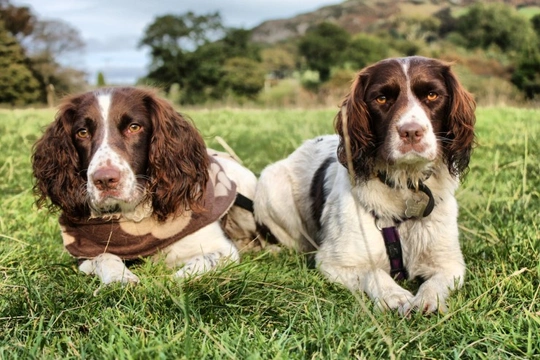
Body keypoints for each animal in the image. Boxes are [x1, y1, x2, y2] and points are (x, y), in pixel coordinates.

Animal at [32, 86, 260, 284]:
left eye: (134, 127)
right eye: (82, 132)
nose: (104, 180)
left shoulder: (222, 248)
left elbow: (203, 259)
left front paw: (173, 281)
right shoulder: (85, 255)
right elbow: (104, 256)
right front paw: (119, 278)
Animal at [254, 56, 476, 316]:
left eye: (432, 95)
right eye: (381, 98)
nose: (411, 132)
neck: (403, 185)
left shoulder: (449, 263)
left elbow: (435, 282)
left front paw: (426, 300)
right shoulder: (335, 261)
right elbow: (374, 271)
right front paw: (396, 296)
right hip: (272, 185)